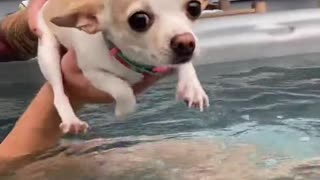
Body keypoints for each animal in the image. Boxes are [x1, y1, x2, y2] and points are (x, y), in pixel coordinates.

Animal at [37, 0, 210, 134]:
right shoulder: (92, 71)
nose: (186, 43)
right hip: (47, 51)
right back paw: (71, 119)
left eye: (194, 7)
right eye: (139, 20)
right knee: (58, 91)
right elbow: (122, 89)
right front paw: (122, 112)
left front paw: (192, 89)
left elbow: (186, 66)